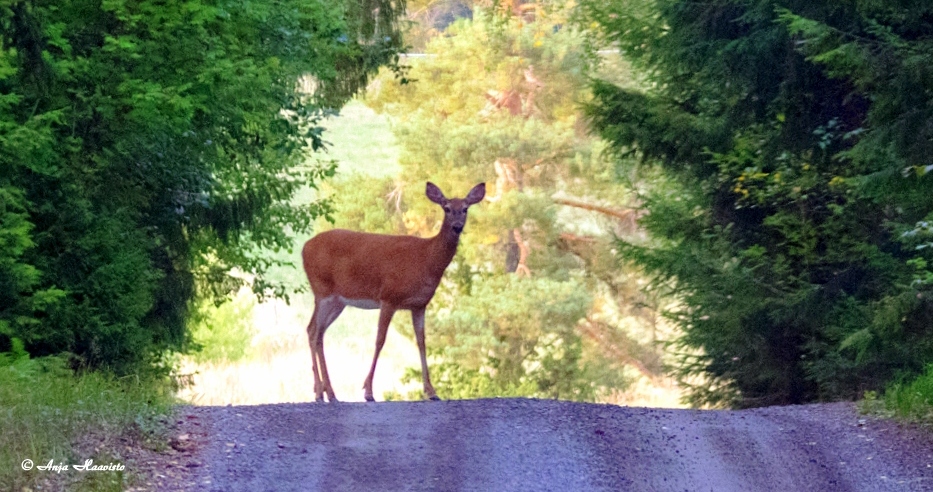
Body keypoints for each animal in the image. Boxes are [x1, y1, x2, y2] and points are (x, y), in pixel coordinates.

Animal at [301, 181, 486, 402]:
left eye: (465, 208)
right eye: (447, 208)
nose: (457, 226)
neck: (427, 258)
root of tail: (304, 248)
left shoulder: (419, 305)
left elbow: (422, 342)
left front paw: (431, 391)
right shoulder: (389, 297)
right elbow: (380, 340)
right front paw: (368, 391)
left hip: (338, 301)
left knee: (317, 331)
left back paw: (327, 393)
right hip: (323, 291)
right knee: (314, 331)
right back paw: (323, 393)